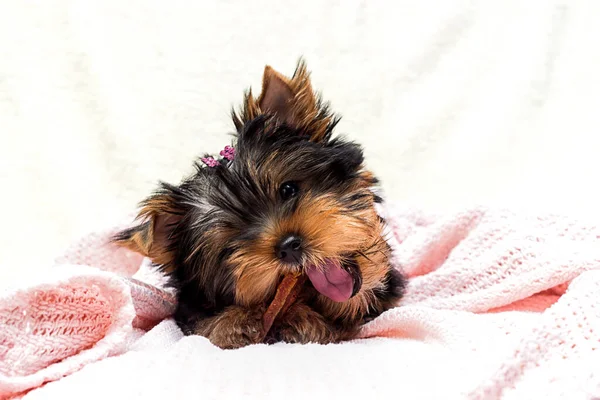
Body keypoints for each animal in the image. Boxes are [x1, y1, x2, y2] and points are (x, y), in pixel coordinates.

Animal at [115, 60, 406, 350]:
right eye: (231, 245)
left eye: (288, 189)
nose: (288, 246)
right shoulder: (188, 312)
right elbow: (205, 327)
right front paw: (235, 322)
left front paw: (301, 319)